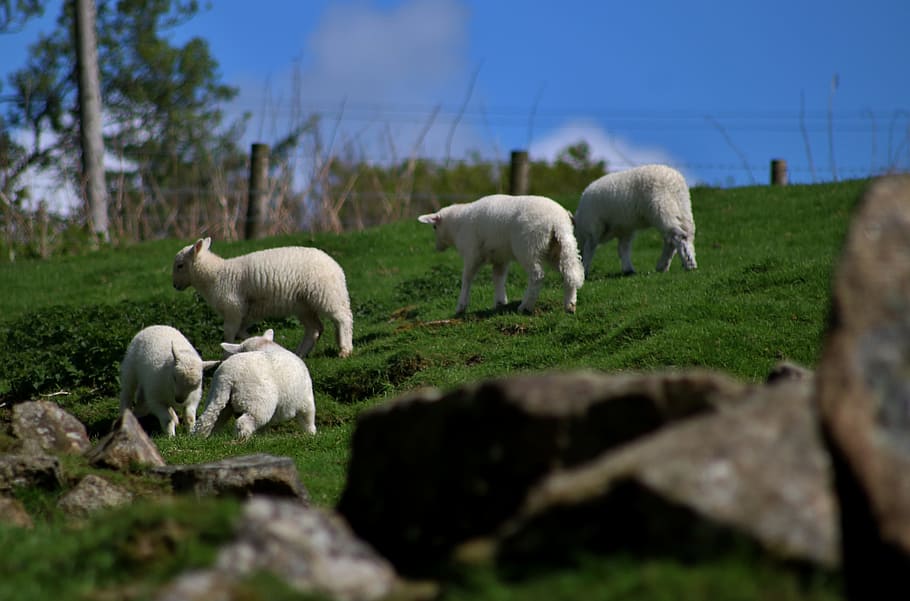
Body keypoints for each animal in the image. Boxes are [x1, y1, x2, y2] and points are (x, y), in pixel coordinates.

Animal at [172, 237, 353, 358]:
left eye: (180, 266)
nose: (175, 286)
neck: (216, 275)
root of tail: (337, 267)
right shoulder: (246, 312)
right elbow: (240, 332)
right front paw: (253, 342)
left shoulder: (233, 308)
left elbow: (229, 333)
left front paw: (225, 357)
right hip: (303, 304)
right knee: (314, 329)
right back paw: (299, 353)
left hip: (326, 294)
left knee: (343, 318)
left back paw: (345, 349)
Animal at [418, 194, 585, 315]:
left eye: (434, 227)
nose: (437, 247)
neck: (457, 225)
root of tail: (557, 221)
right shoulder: (500, 257)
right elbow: (498, 278)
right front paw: (500, 302)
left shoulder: (472, 253)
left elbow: (467, 278)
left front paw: (461, 306)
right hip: (559, 247)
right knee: (570, 272)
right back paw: (570, 305)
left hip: (528, 246)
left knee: (537, 276)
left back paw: (525, 307)